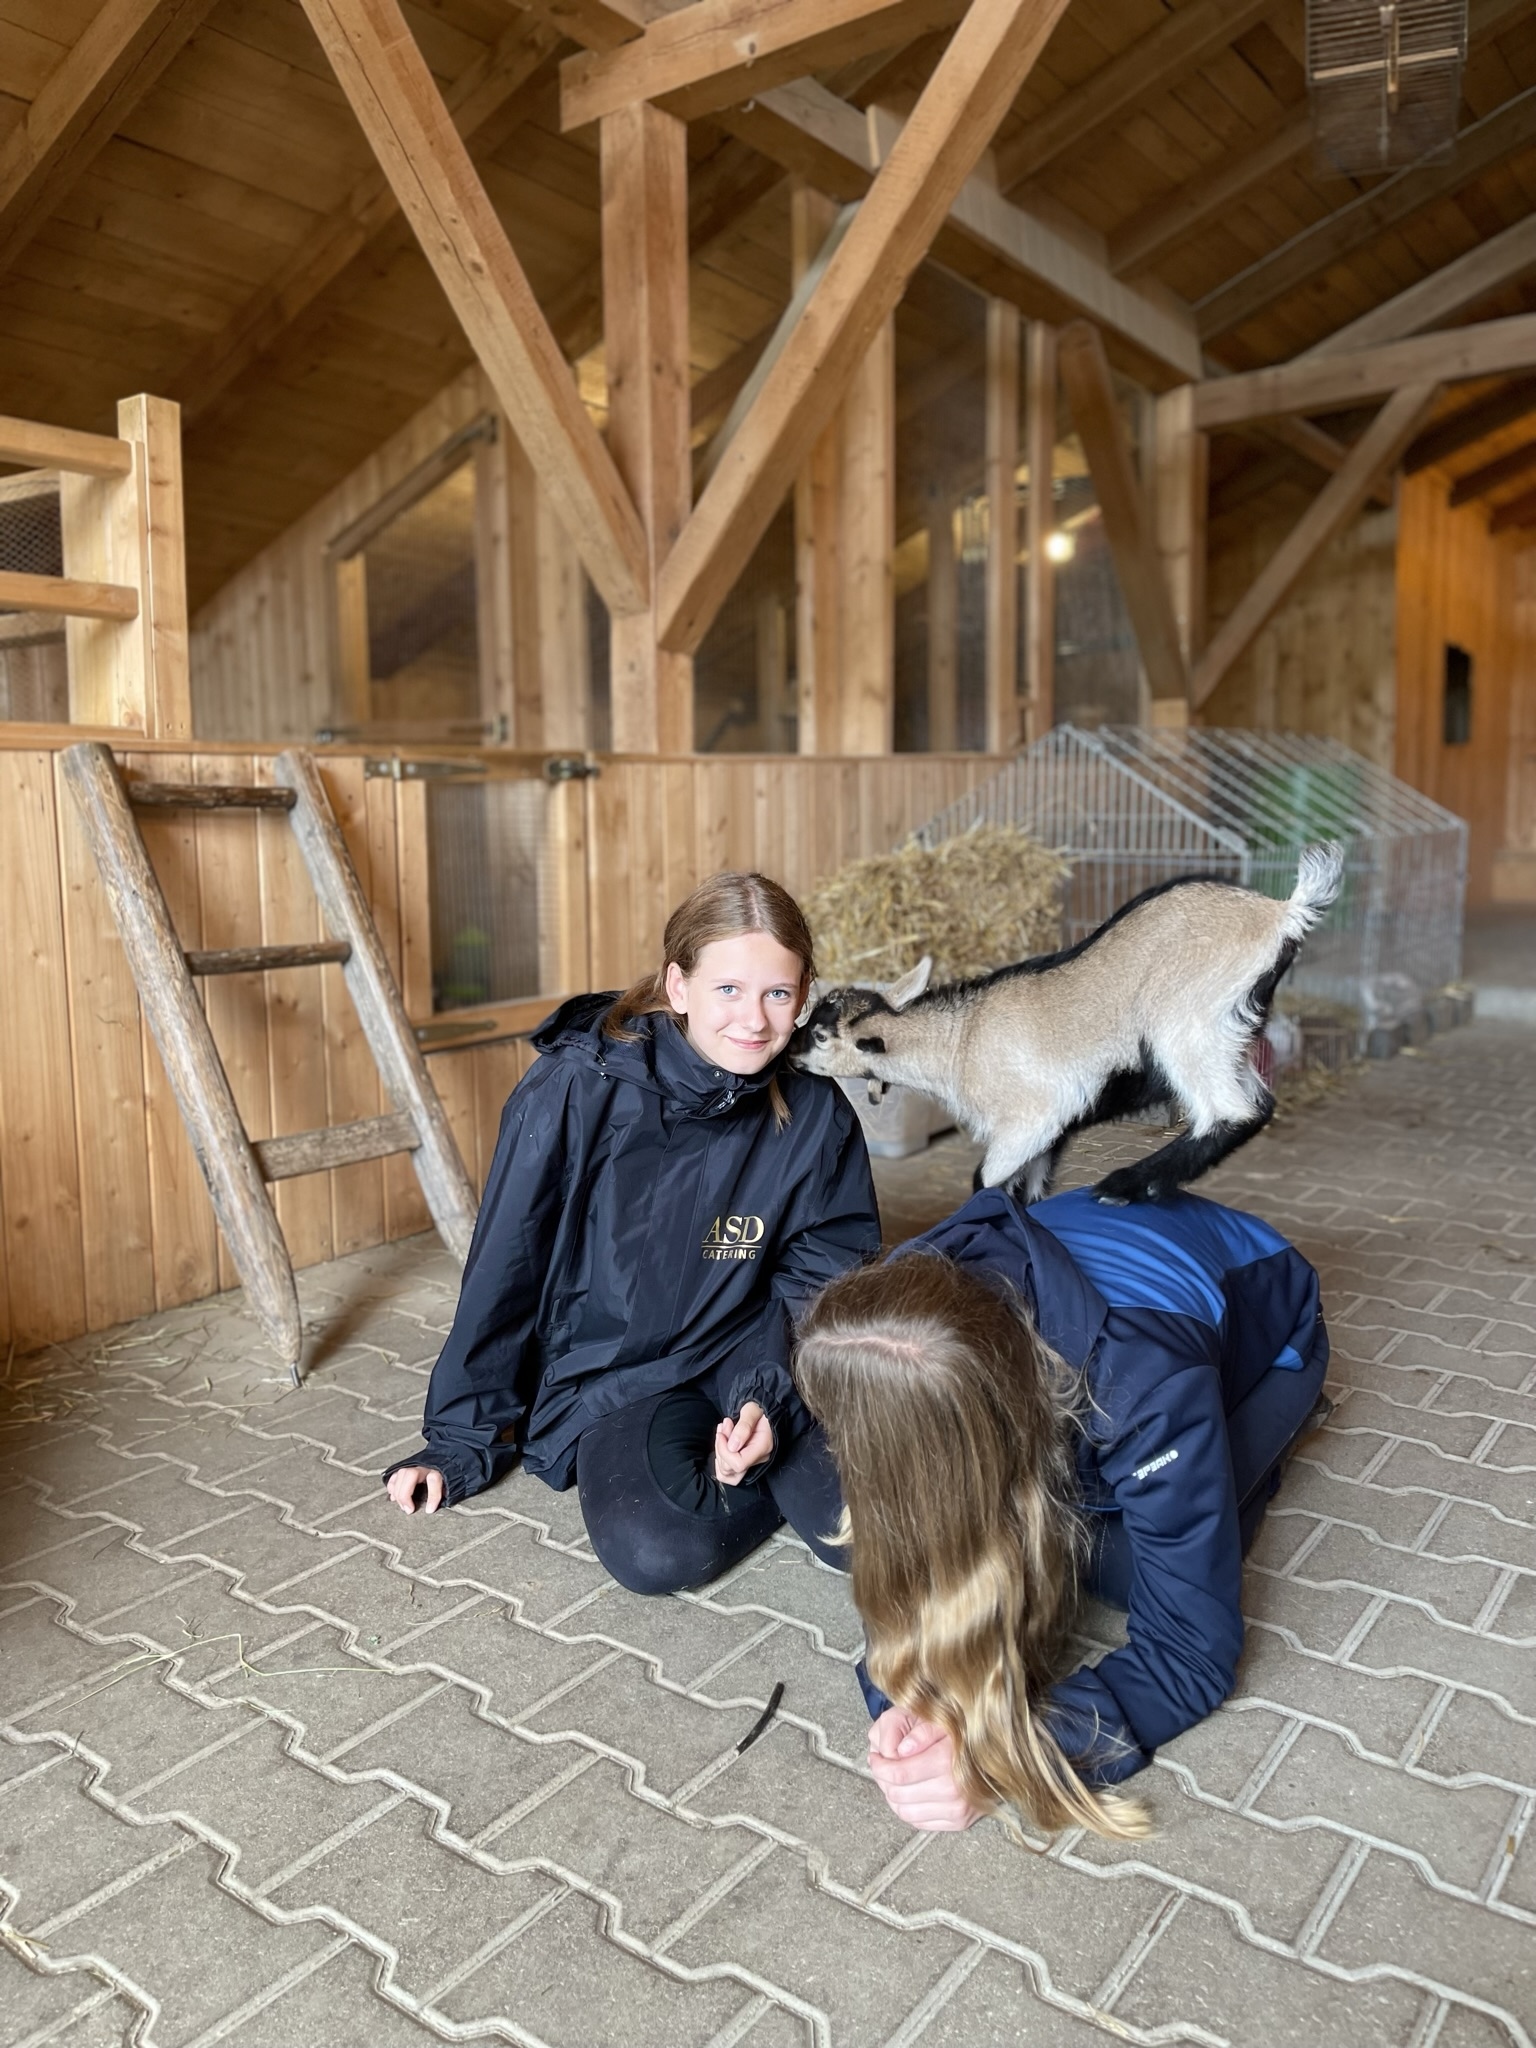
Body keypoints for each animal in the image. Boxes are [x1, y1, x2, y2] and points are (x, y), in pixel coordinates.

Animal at [794, 843, 1343, 1204]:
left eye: (820, 1036)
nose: (790, 1053)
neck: (959, 1042)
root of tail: (1282, 913)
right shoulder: (1049, 1132)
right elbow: (1030, 1190)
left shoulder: (1030, 1116)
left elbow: (986, 1182)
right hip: (1231, 1032)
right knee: (1259, 1102)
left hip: (1187, 1021)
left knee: (1231, 1111)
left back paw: (1124, 1185)